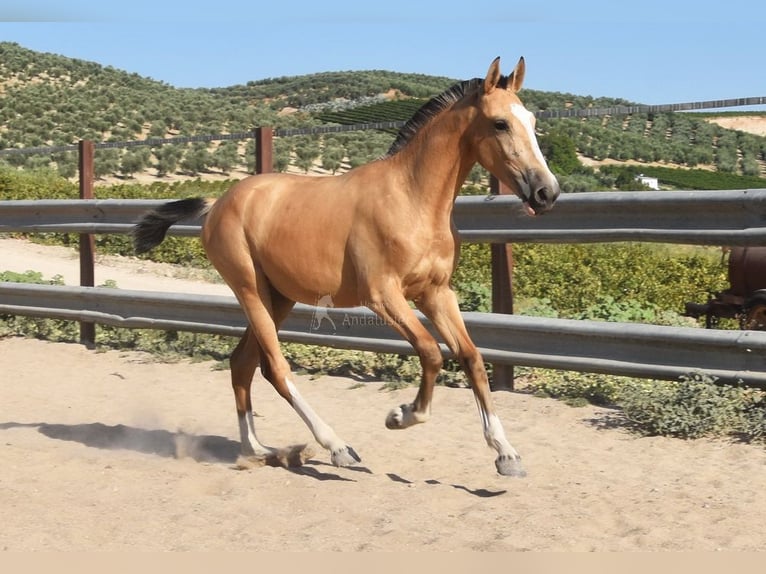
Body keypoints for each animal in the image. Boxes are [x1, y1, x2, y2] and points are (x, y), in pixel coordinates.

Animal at [135, 56, 560, 476]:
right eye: (500, 123)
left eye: (532, 120)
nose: (547, 192)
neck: (412, 200)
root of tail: (217, 203)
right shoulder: (383, 295)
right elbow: (431, 352)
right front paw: (400, 415)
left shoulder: (436, 293)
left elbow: (471, 357)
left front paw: (506, 455)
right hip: (250, 290)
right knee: (275, 368)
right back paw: (336, 447)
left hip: (279, 298)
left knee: (242, 364)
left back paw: (259, 451)